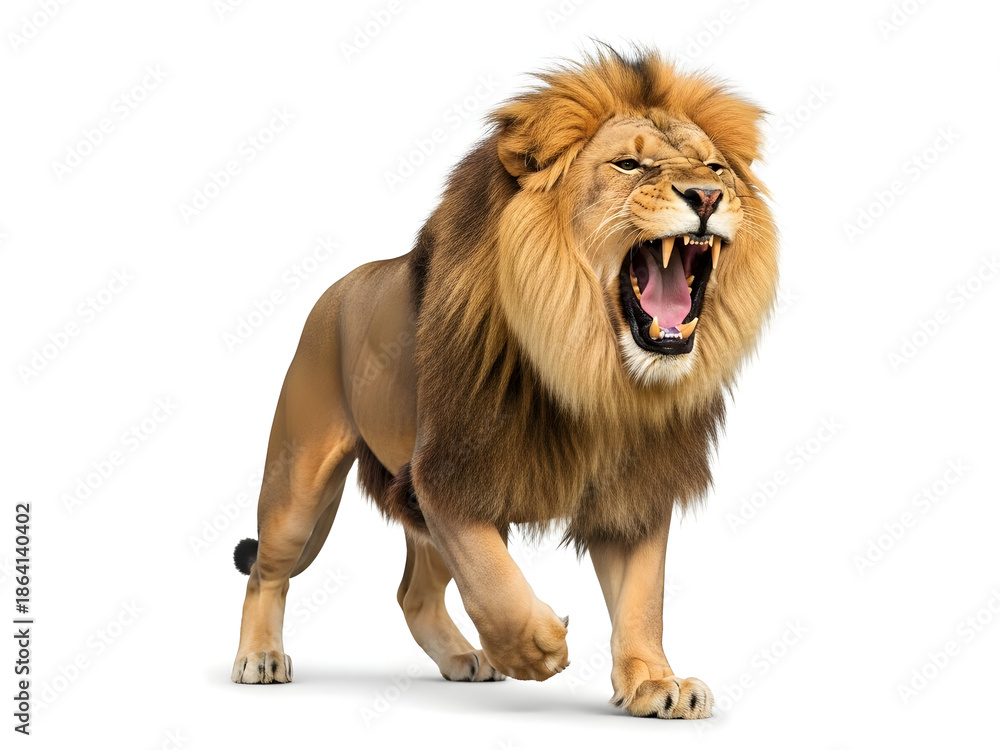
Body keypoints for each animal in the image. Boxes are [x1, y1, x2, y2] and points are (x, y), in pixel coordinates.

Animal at [230, 48, 778, 720]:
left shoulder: (635, 489)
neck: (595, 371)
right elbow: (492, 578)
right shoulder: (445, 474)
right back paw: (259, 658)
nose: (706, 194)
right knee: (268, 570)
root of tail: (340, 286)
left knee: (413, 592)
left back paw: (464, 659)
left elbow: (643, 598)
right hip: (297, 481)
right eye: (628, 164)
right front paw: (536, 647)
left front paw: (655, 683)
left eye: (715, 166)